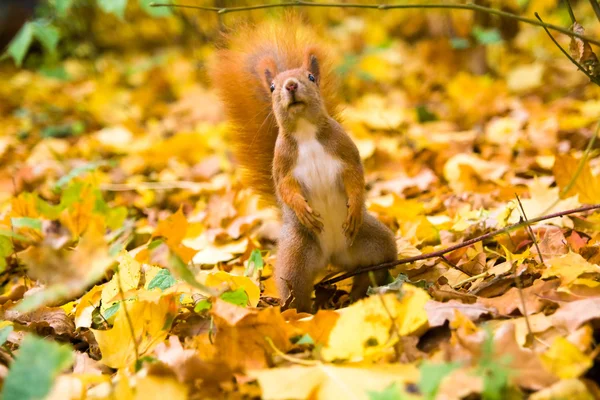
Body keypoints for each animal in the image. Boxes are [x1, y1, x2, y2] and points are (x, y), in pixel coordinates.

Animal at [211, 18, 398, 312]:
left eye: (310, 77)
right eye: (272, 87)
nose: (290, 85)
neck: (305, 131)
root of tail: (333, 255)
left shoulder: (346, 151)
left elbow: (356, 176)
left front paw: (355, 204)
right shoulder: (282, 164)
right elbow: (285, 188)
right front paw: (301, 207)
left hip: (375, 241)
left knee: (377, 265)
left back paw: (359, 292)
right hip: (296, 256)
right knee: (295, 290)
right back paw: (305, 314)